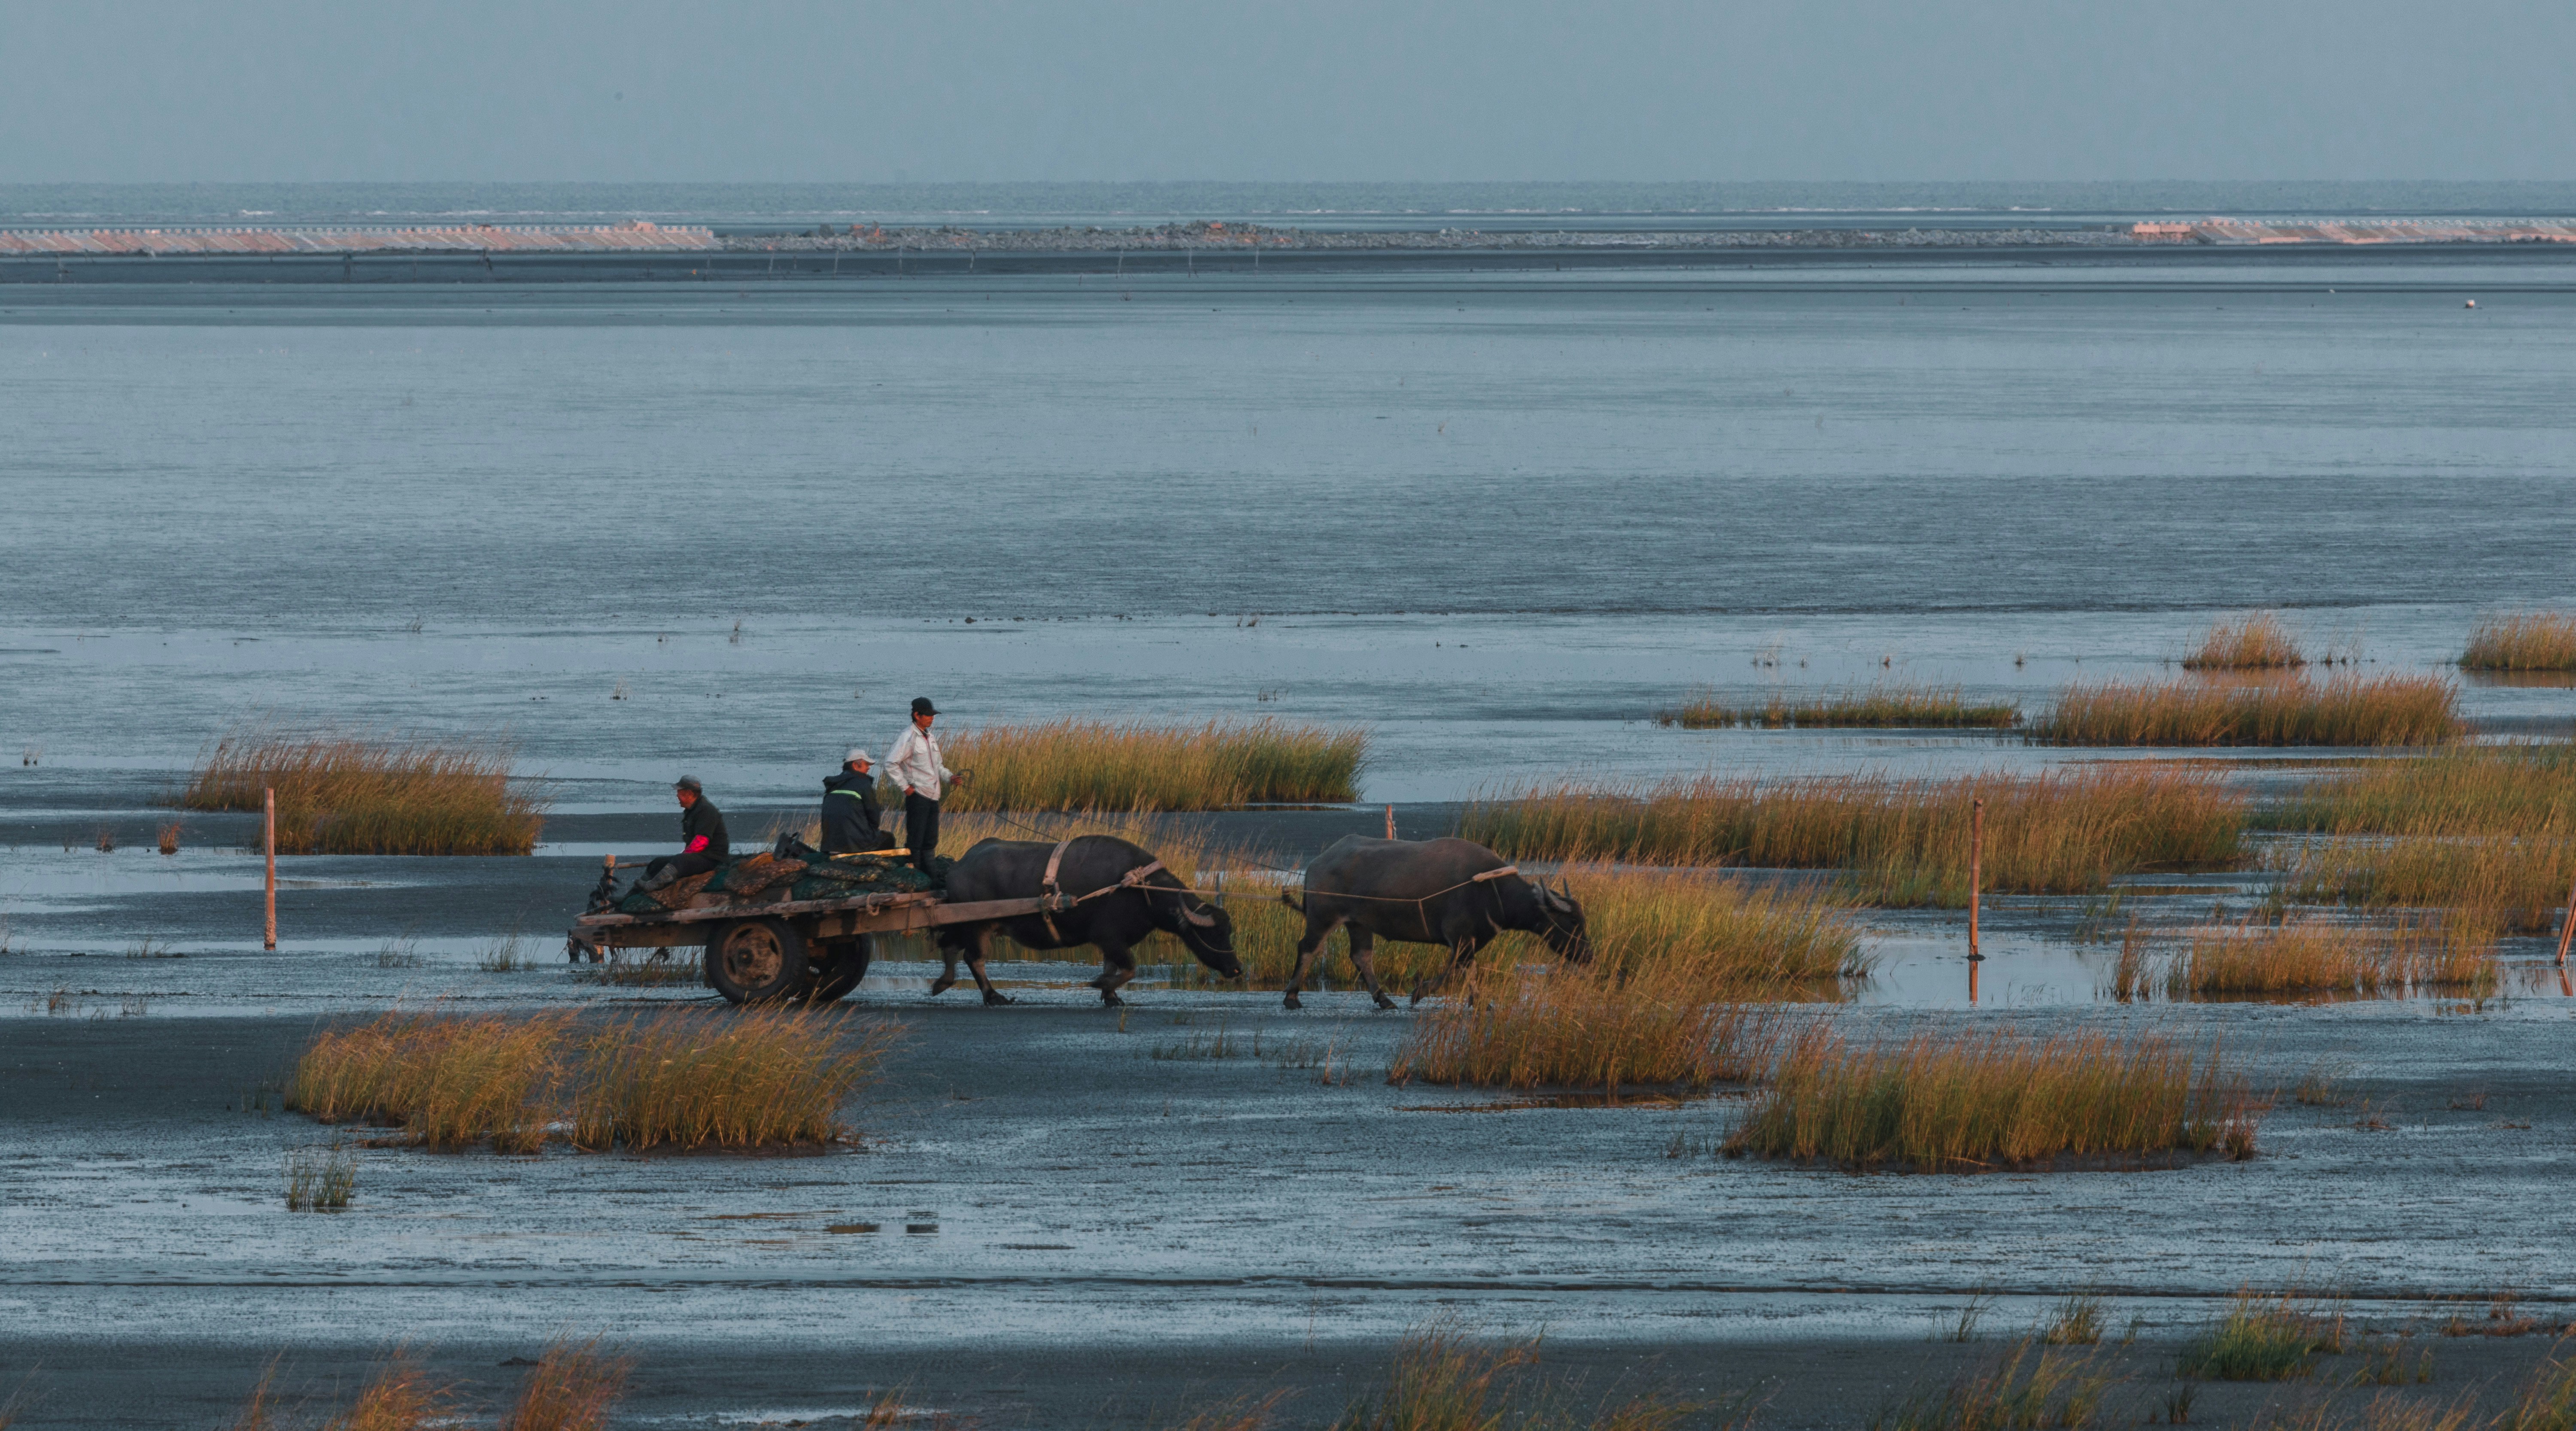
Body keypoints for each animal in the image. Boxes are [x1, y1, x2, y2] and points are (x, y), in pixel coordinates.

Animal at [934, 835, 1242, 1006]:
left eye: (1229, 931)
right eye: (1213, 935)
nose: (1237, 968)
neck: (1138, 889)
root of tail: (958, 866)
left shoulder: (1113, 944)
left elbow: (1114, 968)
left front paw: (1112, 996)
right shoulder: (1110, 938)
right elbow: (1131, 969)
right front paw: (1101, 986)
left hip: (966, 924)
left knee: (950, 945)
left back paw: (943, 983)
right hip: (978, 926)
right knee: (974, 958)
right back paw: (993, 996)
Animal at [1280, 835, 1588, 1010]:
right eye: (1573, 920)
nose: (1588, 955)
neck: (1492, 890)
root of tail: (1317, 863)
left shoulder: (1468, 942)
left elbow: (1467, 970)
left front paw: (1478, 1002)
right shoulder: (1459, 938)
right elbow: (1455, 971)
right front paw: (1420, 992)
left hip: (1359, 924)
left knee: (1361, 956)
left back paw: (1384, 999)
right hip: (1323, 917)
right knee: (1307, 948)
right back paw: (1292, 997)